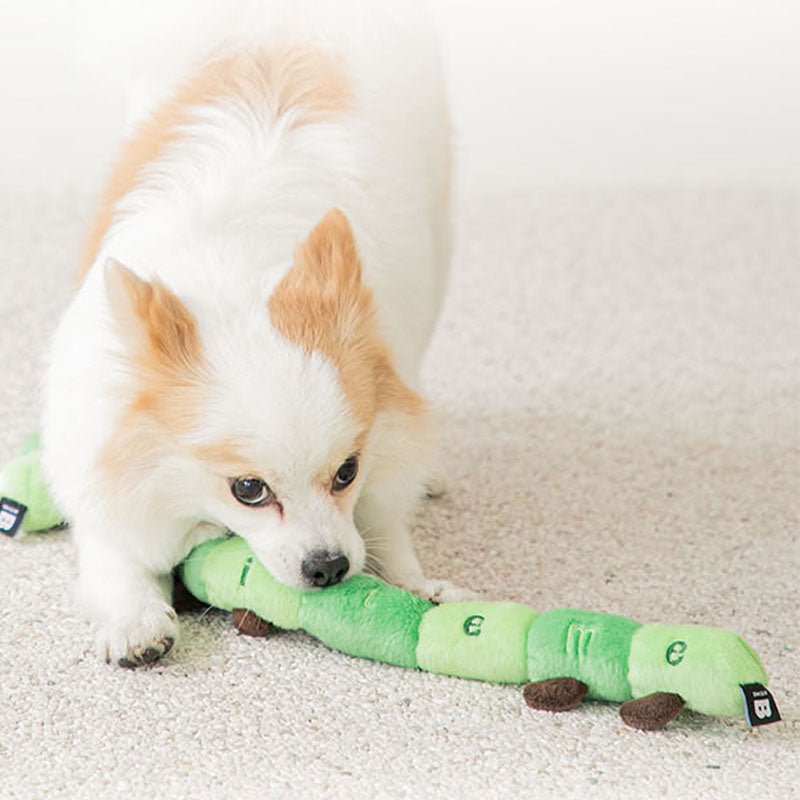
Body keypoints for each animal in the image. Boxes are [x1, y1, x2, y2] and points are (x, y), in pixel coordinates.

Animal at [40, 0, 462, 664]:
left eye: (347, 472)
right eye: (248, 490)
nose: (328, 566)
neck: (234, 275)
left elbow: (386, 517)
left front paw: (415, 584)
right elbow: (115, 558)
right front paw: (134, 620)